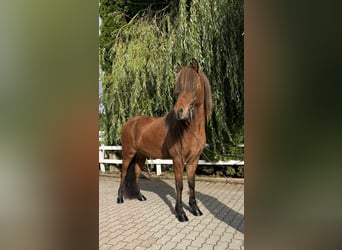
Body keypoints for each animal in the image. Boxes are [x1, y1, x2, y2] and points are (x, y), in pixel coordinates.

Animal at [119, 58, 212, 221]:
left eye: (194, 86)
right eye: (178, 88)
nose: (179, 111)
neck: (190, 130)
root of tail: (129, 122)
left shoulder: (194, 160)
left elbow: (191, 184)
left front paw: (195, 209)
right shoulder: (178, 159)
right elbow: (179, 185)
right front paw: (181, 213)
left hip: (141, 155)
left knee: (136, 172)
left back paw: (140, 196)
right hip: (128, 153)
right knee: (123, 173)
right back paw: (119, 198)